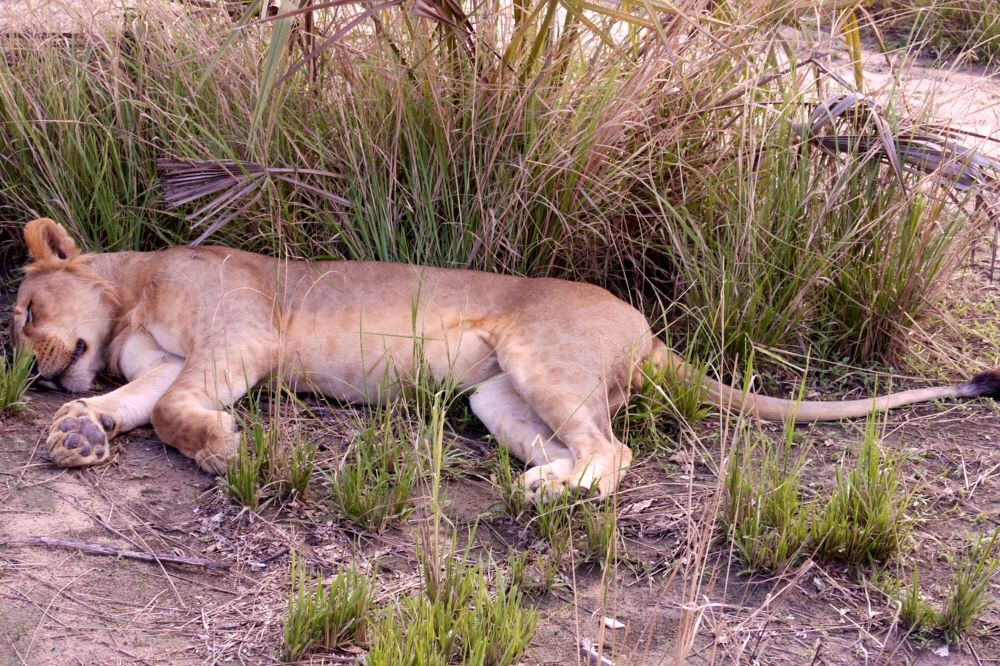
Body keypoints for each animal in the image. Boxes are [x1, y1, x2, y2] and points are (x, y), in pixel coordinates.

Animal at [9, 218, 1000, 498]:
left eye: (21, 313)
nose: (32, 375)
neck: (133, 288)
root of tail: (648, 328)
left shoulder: (238, 336)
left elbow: (178, 410)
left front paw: (220, 448)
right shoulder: (168, 357)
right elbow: (137, 400)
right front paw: (78, 431)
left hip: (542, 357)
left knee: (615, 449)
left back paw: (553, 497)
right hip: (495, 398)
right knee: (574, 442)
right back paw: (543, 483)